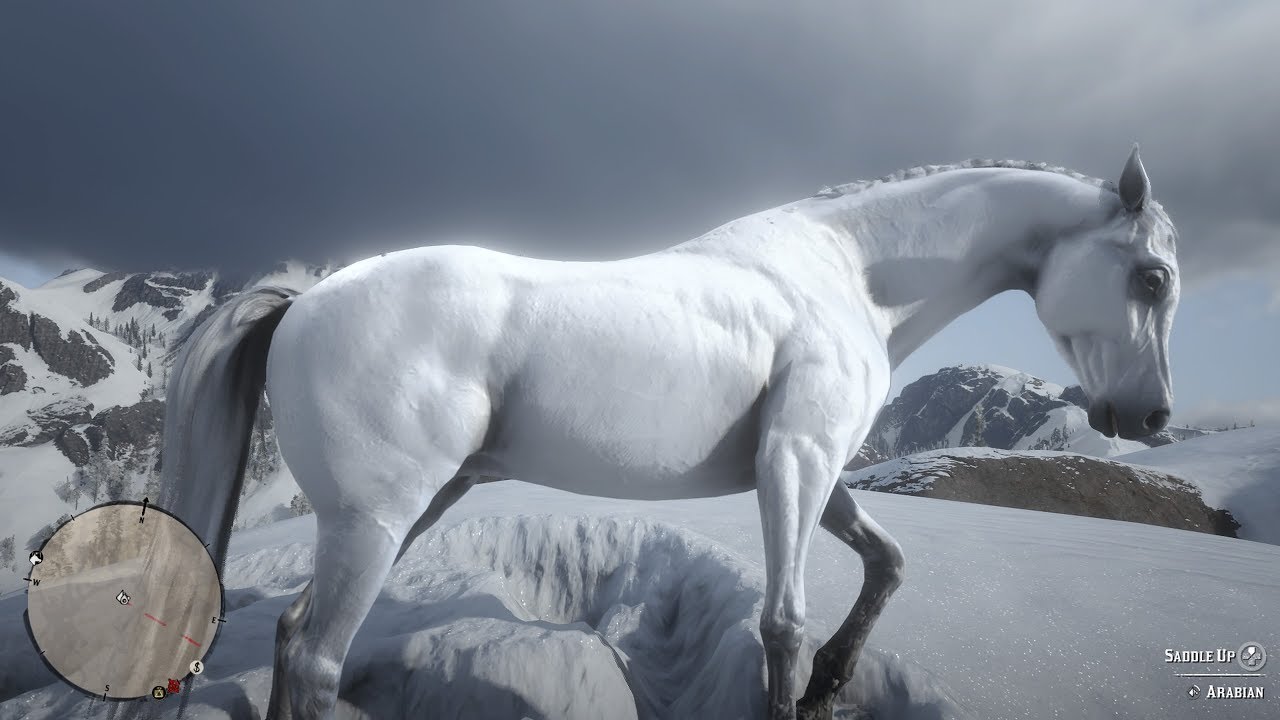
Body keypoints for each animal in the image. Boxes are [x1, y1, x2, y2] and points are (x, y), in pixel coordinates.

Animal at [158, 145, 1179, 720]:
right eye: (1154, 277)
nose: (1153, 418)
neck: (848, 275)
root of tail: (305, 301)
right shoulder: (796, 460)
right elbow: (781, 623)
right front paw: (806, 683)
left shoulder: (812, 468)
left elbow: (887, 564)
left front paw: (832, 683)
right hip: (375, 521)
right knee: (318, 656)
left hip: (408, 510)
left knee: (290, 635)